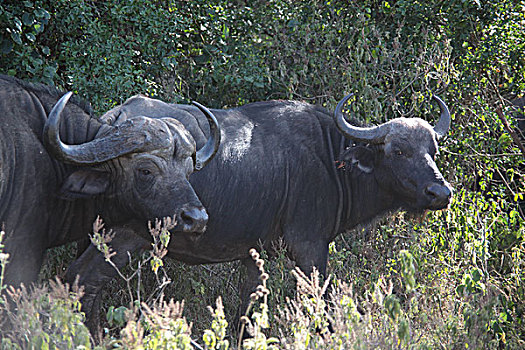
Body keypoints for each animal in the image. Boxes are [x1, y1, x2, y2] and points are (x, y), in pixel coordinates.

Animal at [72, 91, 450, 326]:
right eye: (399, 150)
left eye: (433, 149)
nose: (440, 192)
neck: (331, 157)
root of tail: (112, 122)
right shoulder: (309, 247)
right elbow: (322, 306)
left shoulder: (253, 255)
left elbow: (248, 311)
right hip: (122, 236)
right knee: (84, 282)